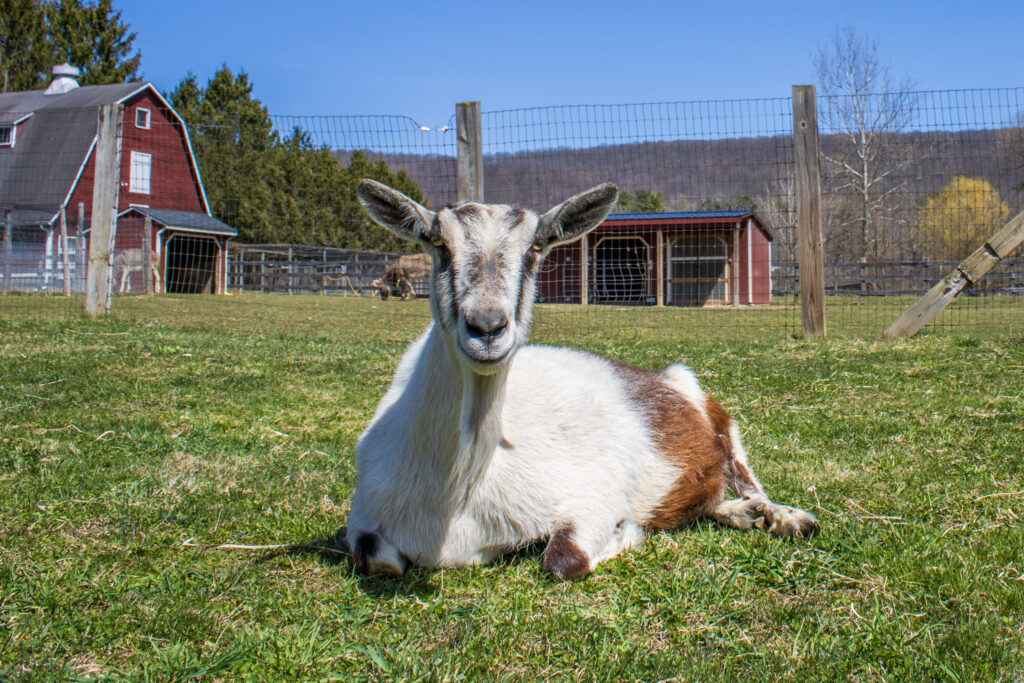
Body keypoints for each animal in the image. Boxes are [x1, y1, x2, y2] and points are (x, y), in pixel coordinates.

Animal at [347, 179, 819, 579]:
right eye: (438, 242)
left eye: (536, 248)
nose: (487, 327)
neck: (458, 491)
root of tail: (667, 377)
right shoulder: (363, 516)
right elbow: (374, 558)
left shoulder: (594, 494)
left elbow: (564, 559)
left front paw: (627, 532)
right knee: (714, 498)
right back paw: (741, 514)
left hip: (724, 428)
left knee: (749, 482)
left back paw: (788, 518)